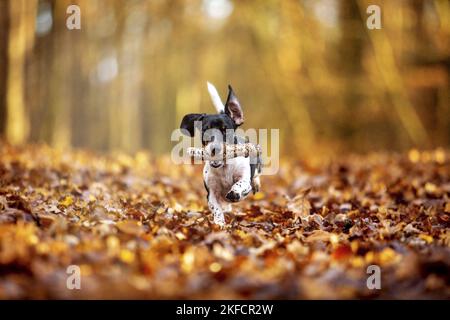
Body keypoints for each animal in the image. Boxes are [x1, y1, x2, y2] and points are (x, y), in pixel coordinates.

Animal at [181, 82, 262, 226]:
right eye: (206, 130)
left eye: (225, 130)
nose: (215, 149)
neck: (224, 167)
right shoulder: (211, 193)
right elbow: (216, 208)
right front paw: (219, 224)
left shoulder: (244, 180)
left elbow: (240, 184)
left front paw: (235, 192)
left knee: (257, 174)